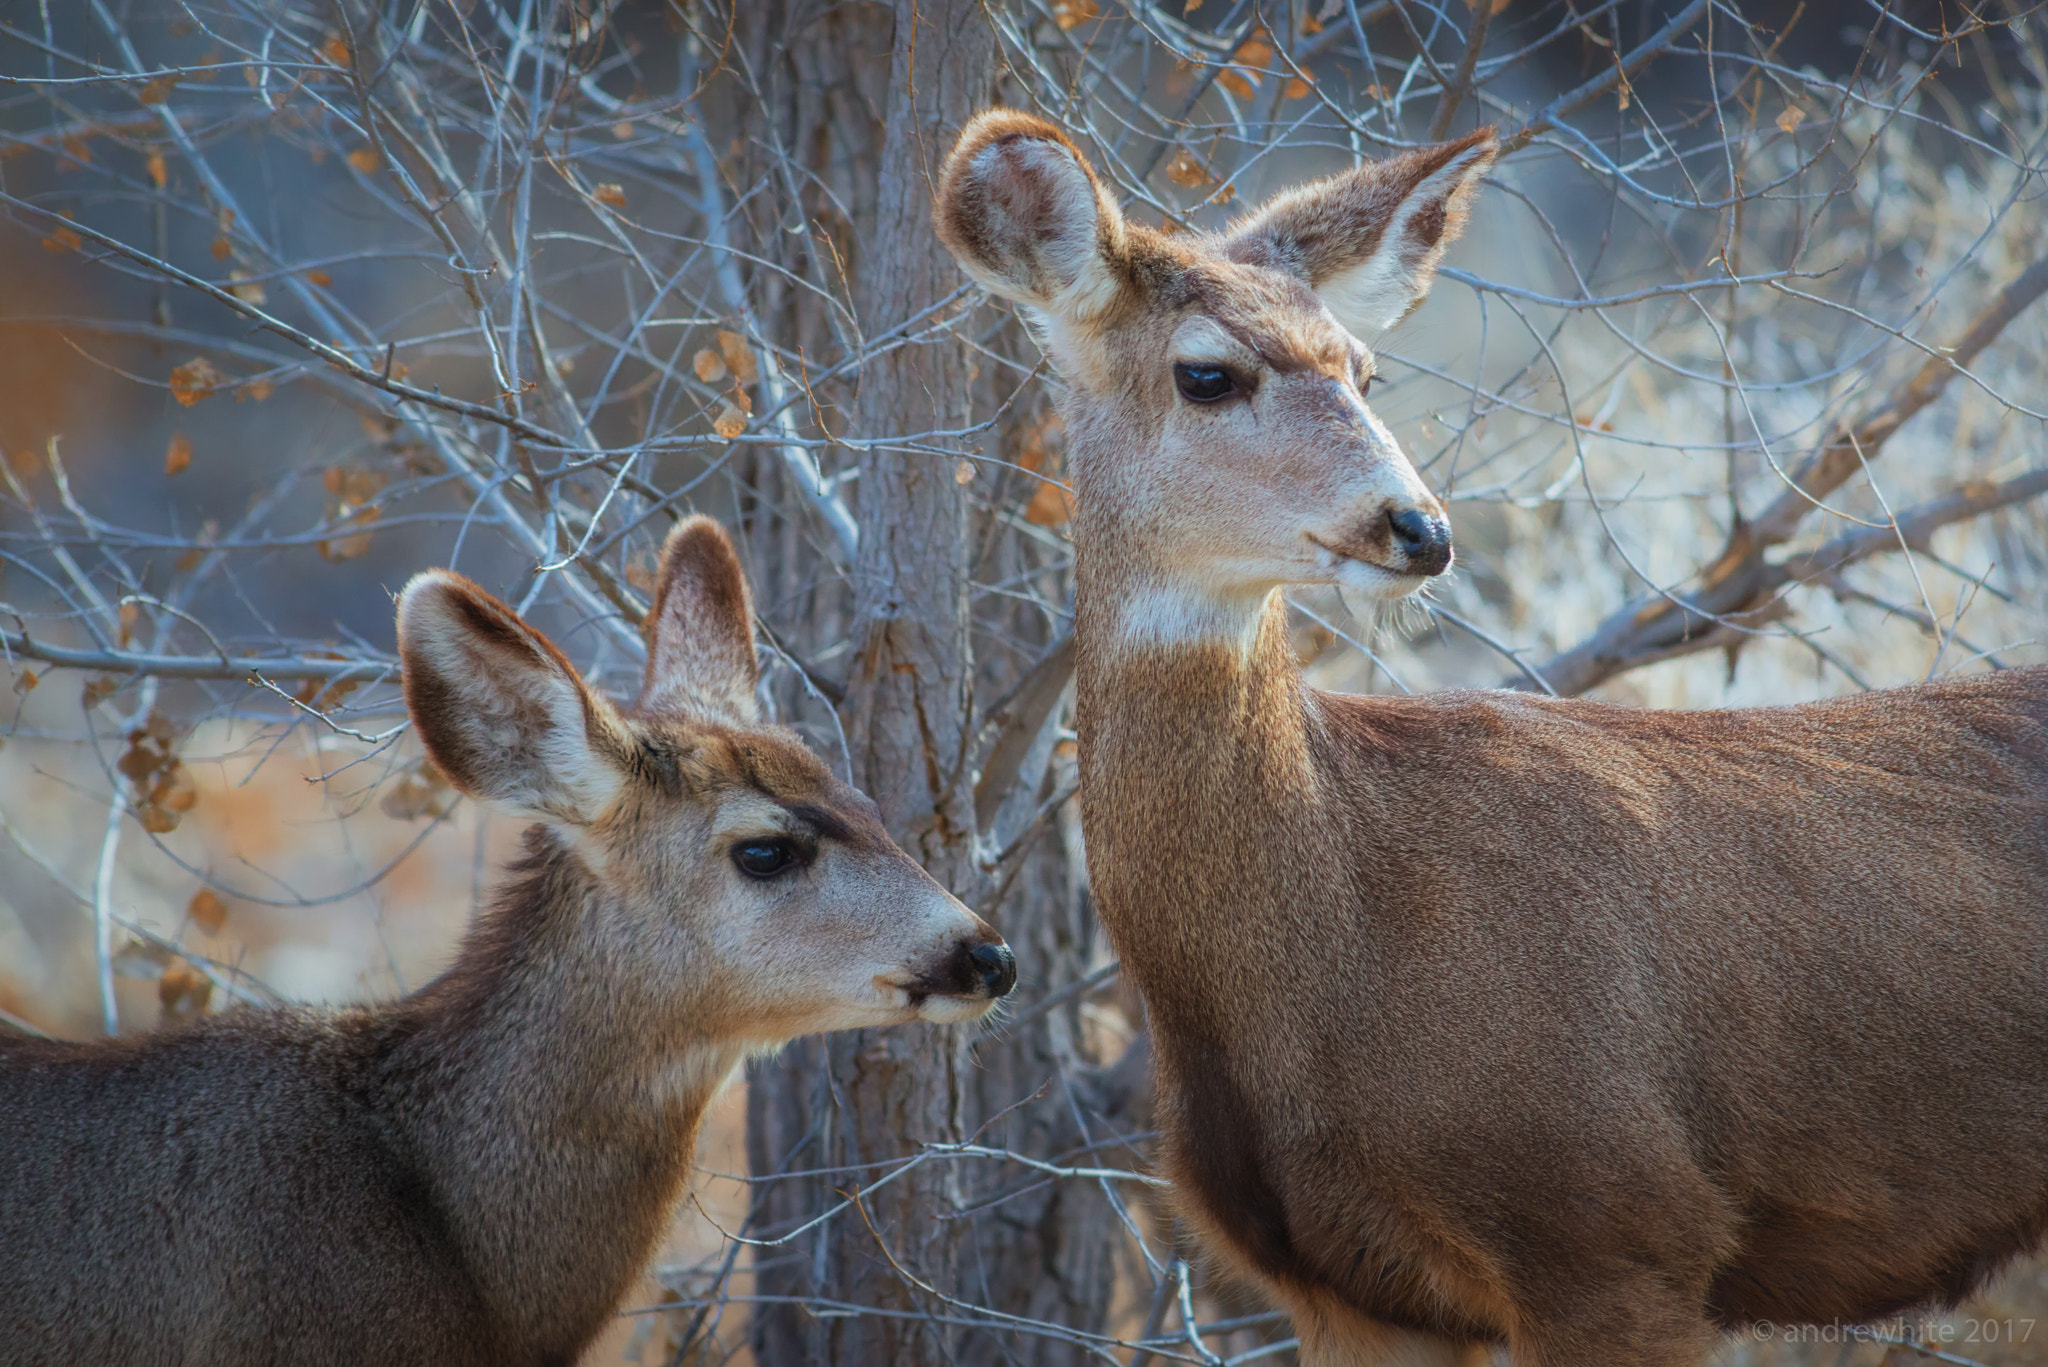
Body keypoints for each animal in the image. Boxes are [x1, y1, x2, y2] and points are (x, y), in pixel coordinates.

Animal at [937, 109, 2048, 1367]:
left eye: (1365, 368)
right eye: (1206, 373)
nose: (1417, 528)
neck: (1337, 929)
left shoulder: (1618, 1232)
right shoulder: (1349, 1292)